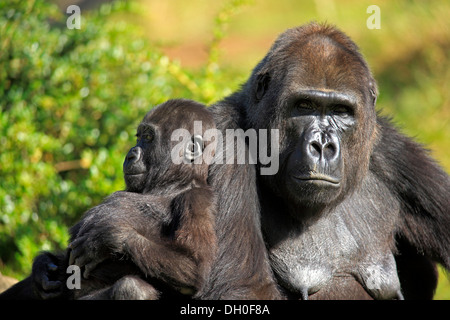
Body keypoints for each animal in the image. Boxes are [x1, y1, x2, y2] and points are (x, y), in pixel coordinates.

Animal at [67, 99, 220, 298]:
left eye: (148, 137)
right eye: (138, 137)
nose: (130, 154)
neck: (175, 182)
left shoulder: (197, 200)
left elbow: (193, 268)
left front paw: (106, 238)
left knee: (131, 288)